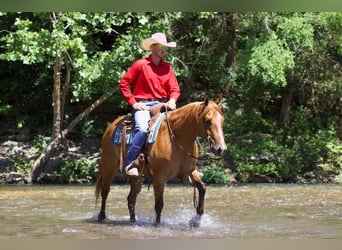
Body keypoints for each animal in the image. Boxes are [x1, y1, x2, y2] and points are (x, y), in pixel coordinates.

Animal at [94, 95, 227, 227]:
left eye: (222, 120)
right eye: (207, 120)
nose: (221, 149)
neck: (176, 137)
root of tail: (111, 126)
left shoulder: (187, 173)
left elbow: (202, 187)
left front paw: (196, 220)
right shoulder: (159, 178)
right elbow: (159, 205)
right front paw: (157, 224)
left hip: (137, 177)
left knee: (131, 198)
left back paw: (133, 220)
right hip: (109, 166)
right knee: (105, 190)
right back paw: (101, 216)